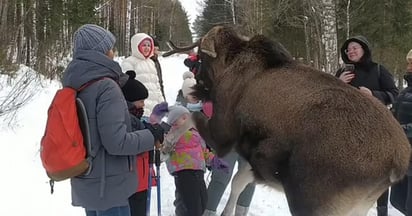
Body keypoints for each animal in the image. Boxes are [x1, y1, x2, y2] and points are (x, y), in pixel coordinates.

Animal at [163, 26, 410, 215]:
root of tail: (395, 165)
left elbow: (191, 117)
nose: (196, 86)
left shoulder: (224, 134)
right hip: (358, 206)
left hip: (313, 202)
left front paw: (167, 144)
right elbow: (238, 183)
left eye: (200, 56)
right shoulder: (254, 159)